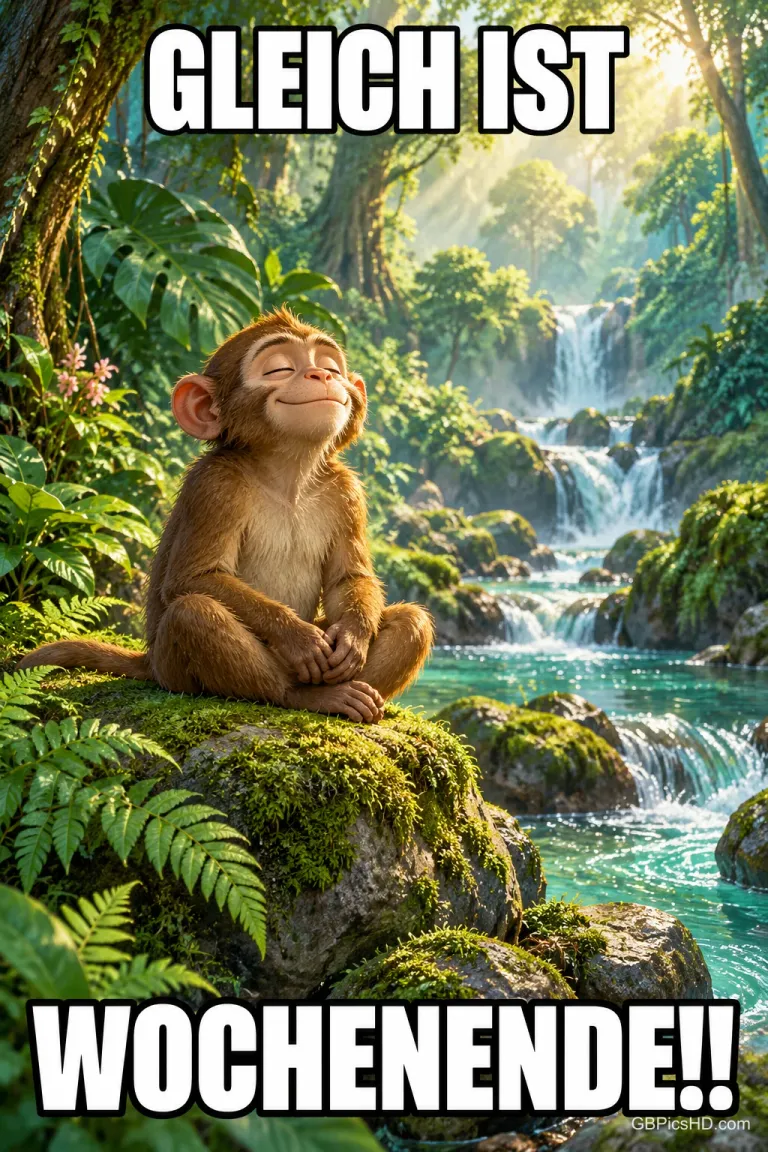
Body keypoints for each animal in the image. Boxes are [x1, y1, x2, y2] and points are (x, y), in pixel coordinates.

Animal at [19, 308, 434, 723]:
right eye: (280, 369)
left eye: (331, 366)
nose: (322, 376)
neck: (288, 475)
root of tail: (149, 662)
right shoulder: (215, 485)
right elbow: (194, 579)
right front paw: (297, 638)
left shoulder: (346, 492)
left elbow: (348, 579)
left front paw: (353, 637)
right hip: (173, 669)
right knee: (193, 613)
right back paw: (305, 696)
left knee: (411, 623)